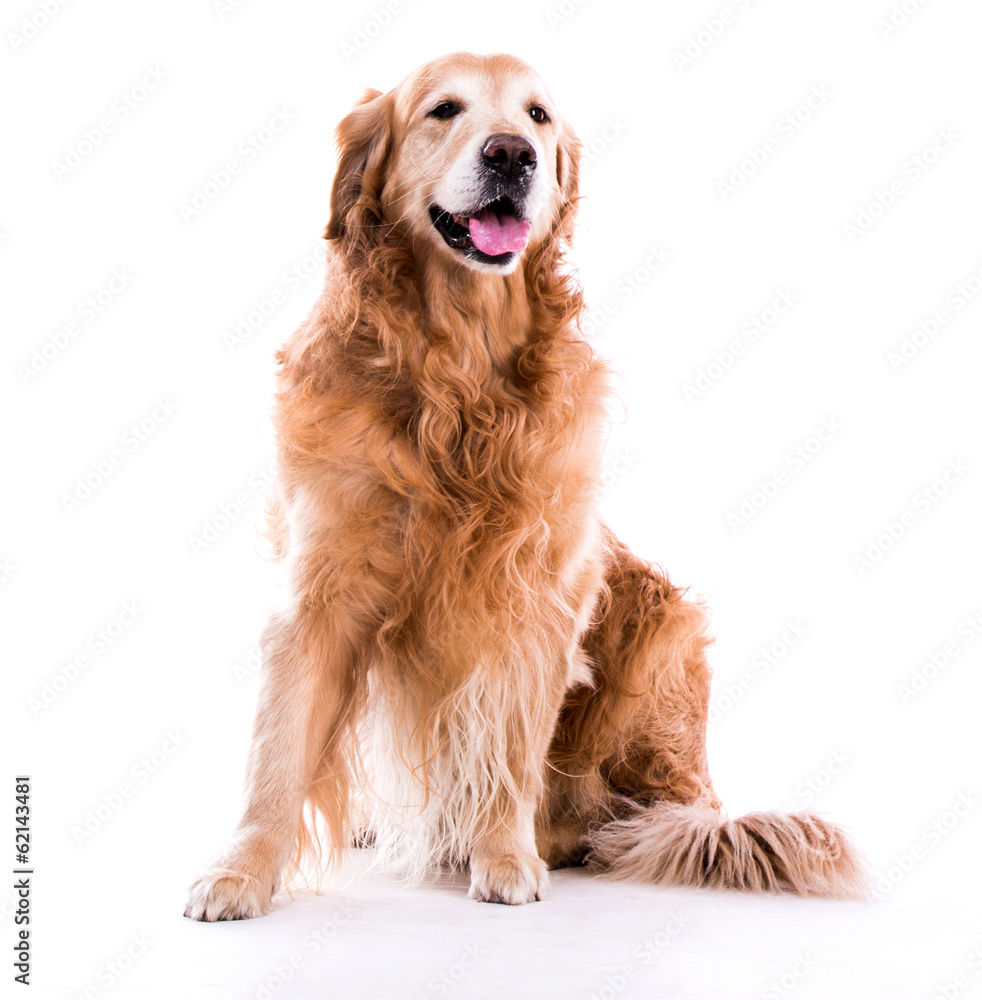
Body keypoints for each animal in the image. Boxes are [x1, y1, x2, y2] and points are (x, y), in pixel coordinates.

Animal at [183, 54, 868, 920]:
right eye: (444, 109)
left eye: (538, 115)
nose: (512, 154)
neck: (454, 375)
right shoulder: (317, 590)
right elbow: (277, 753)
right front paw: (240, 871)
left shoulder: (538, 590)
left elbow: (510, 743)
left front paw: (504, 858)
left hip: (662, 628)